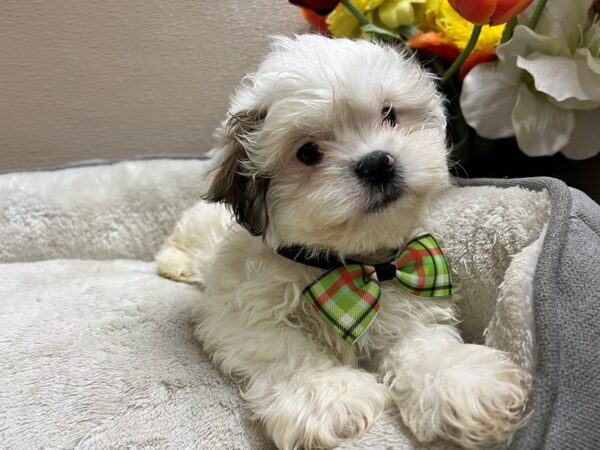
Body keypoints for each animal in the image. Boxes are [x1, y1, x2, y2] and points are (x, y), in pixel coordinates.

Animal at [156, 35, 528, 450]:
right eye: (307, 152)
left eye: (389, 114)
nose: (377, 163)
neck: (348, 266)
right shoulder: (237, 316)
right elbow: (286, 349)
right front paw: (331, 397)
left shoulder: (409, 298)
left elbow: (424, 343)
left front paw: (460, 379)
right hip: (194, 231)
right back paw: (174, 264)